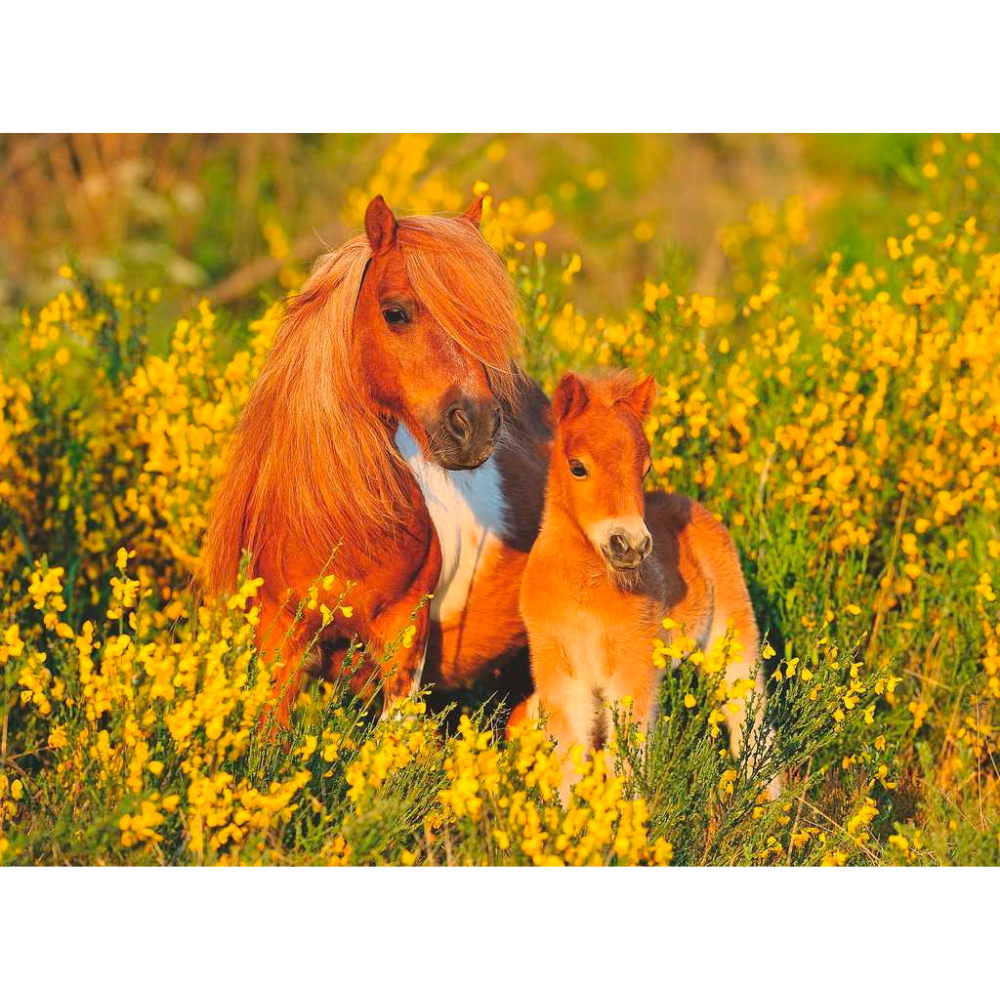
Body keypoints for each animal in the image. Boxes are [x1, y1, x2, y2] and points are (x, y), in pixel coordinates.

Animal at [513, 371, 766, 799]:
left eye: (644, 469)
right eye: (577, 467)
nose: (629, 545)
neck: (583, 592)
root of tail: (692, 504)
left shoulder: (632, 666)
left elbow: (627, 762)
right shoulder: (559, 671)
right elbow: (568, 758)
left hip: (732, 632)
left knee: (751, 714)